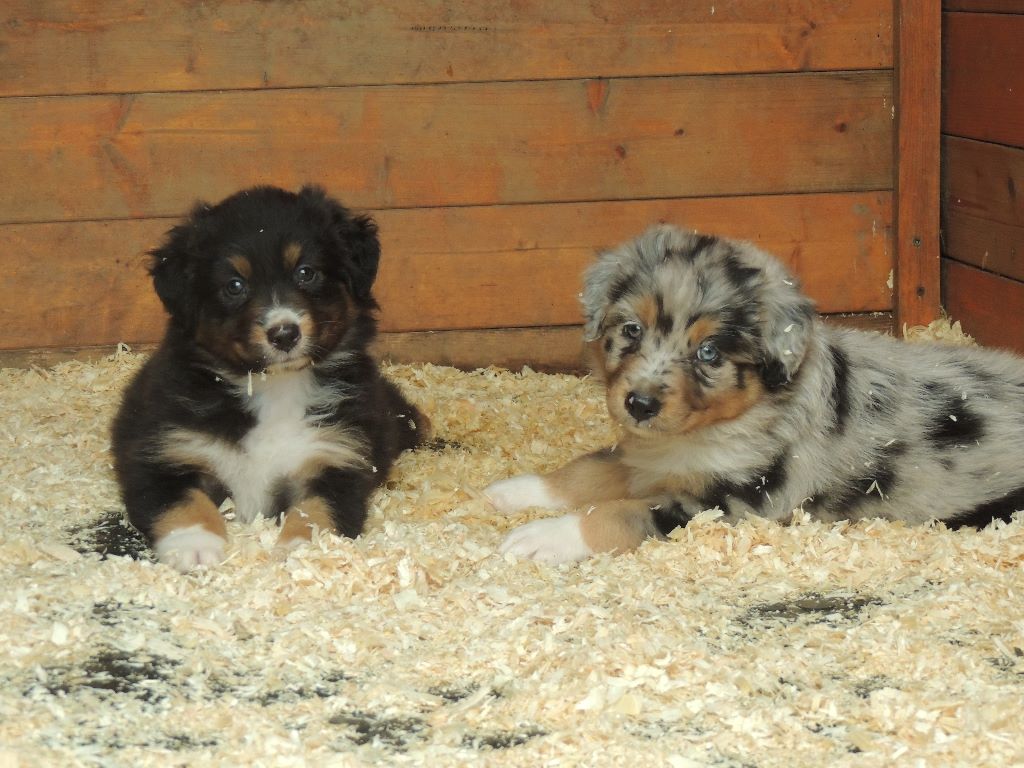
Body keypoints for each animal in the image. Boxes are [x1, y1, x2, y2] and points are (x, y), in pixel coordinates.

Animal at [112, 185, 428, 573]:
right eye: (234, 285)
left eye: (306, 272)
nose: (284, 333)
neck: (275, 388)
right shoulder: (164, 452)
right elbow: (183, 501)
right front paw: (195, 547)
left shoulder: (337, 459)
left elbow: (315, 512)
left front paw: (302, 550)